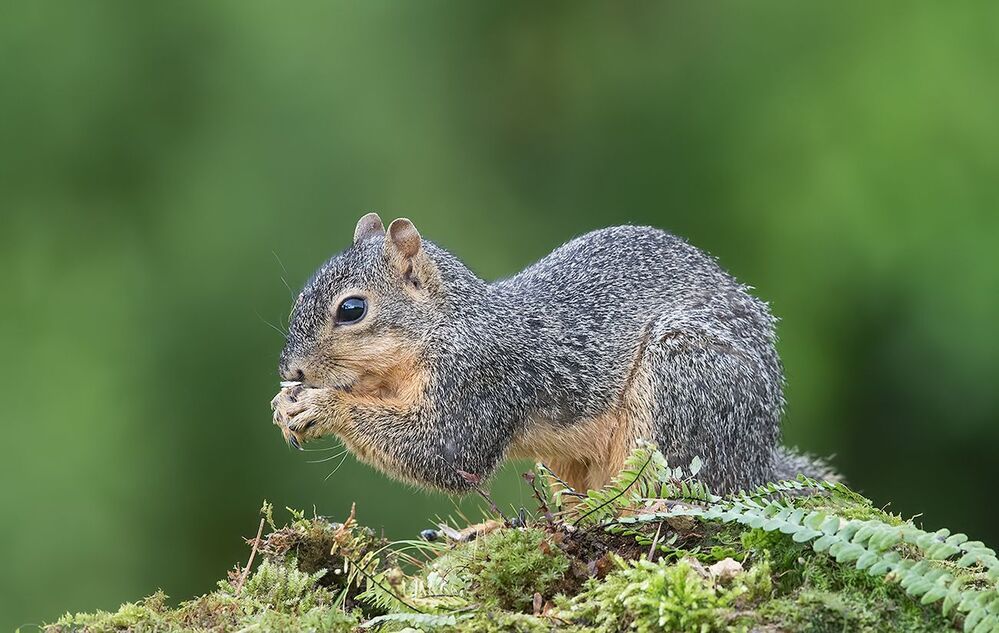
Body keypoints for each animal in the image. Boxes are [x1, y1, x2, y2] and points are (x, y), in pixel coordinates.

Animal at [271, 213, 837, 495]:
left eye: (352, 309)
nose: (290, 369)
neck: (445, 326)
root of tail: (757, 461)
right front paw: (283, 404)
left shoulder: (481, 379)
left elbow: (445, 452)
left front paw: (321, 405)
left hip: (686, 384)